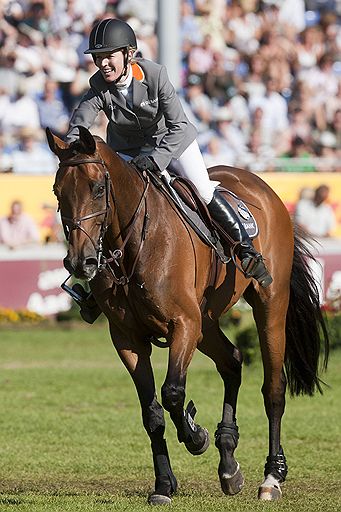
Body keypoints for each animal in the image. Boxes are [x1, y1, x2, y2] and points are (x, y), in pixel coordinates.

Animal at [46, 127, 328, 504]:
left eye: (97, 188)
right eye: (57, 190)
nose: (81, 262)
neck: (132, 245)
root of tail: (260, 186)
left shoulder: (183, 325)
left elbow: (172, 393)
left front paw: (196, 436)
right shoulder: (128, 339)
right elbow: (152, 413)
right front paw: (164, 485)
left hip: (268, 305)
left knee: (273, 388)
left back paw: (271, 477)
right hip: (206, 323)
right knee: (232, 361)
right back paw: (229, 465)